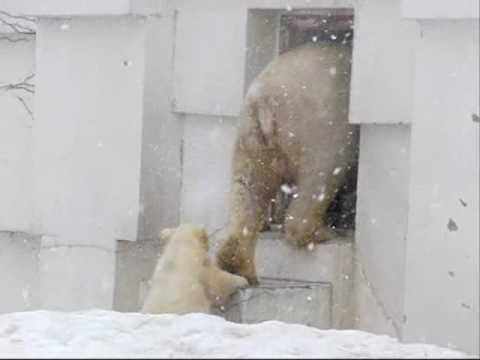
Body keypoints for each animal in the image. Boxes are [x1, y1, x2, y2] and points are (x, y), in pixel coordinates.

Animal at [216, 42, 358, 284]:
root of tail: (265, 99)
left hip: (250, 133)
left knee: (248, 185)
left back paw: (237, 264)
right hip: (321, 125)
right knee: (321, 174)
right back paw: (321, 232)